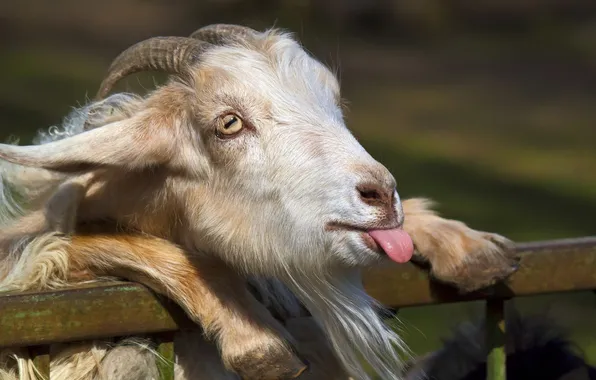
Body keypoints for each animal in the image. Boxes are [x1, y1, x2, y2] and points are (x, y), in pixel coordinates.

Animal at [0, 24, 516, 380]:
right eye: (229, 123)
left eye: (335, 106)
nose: (382, 194)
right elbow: (84, 244)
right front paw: (257, 339)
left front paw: (469, 248)